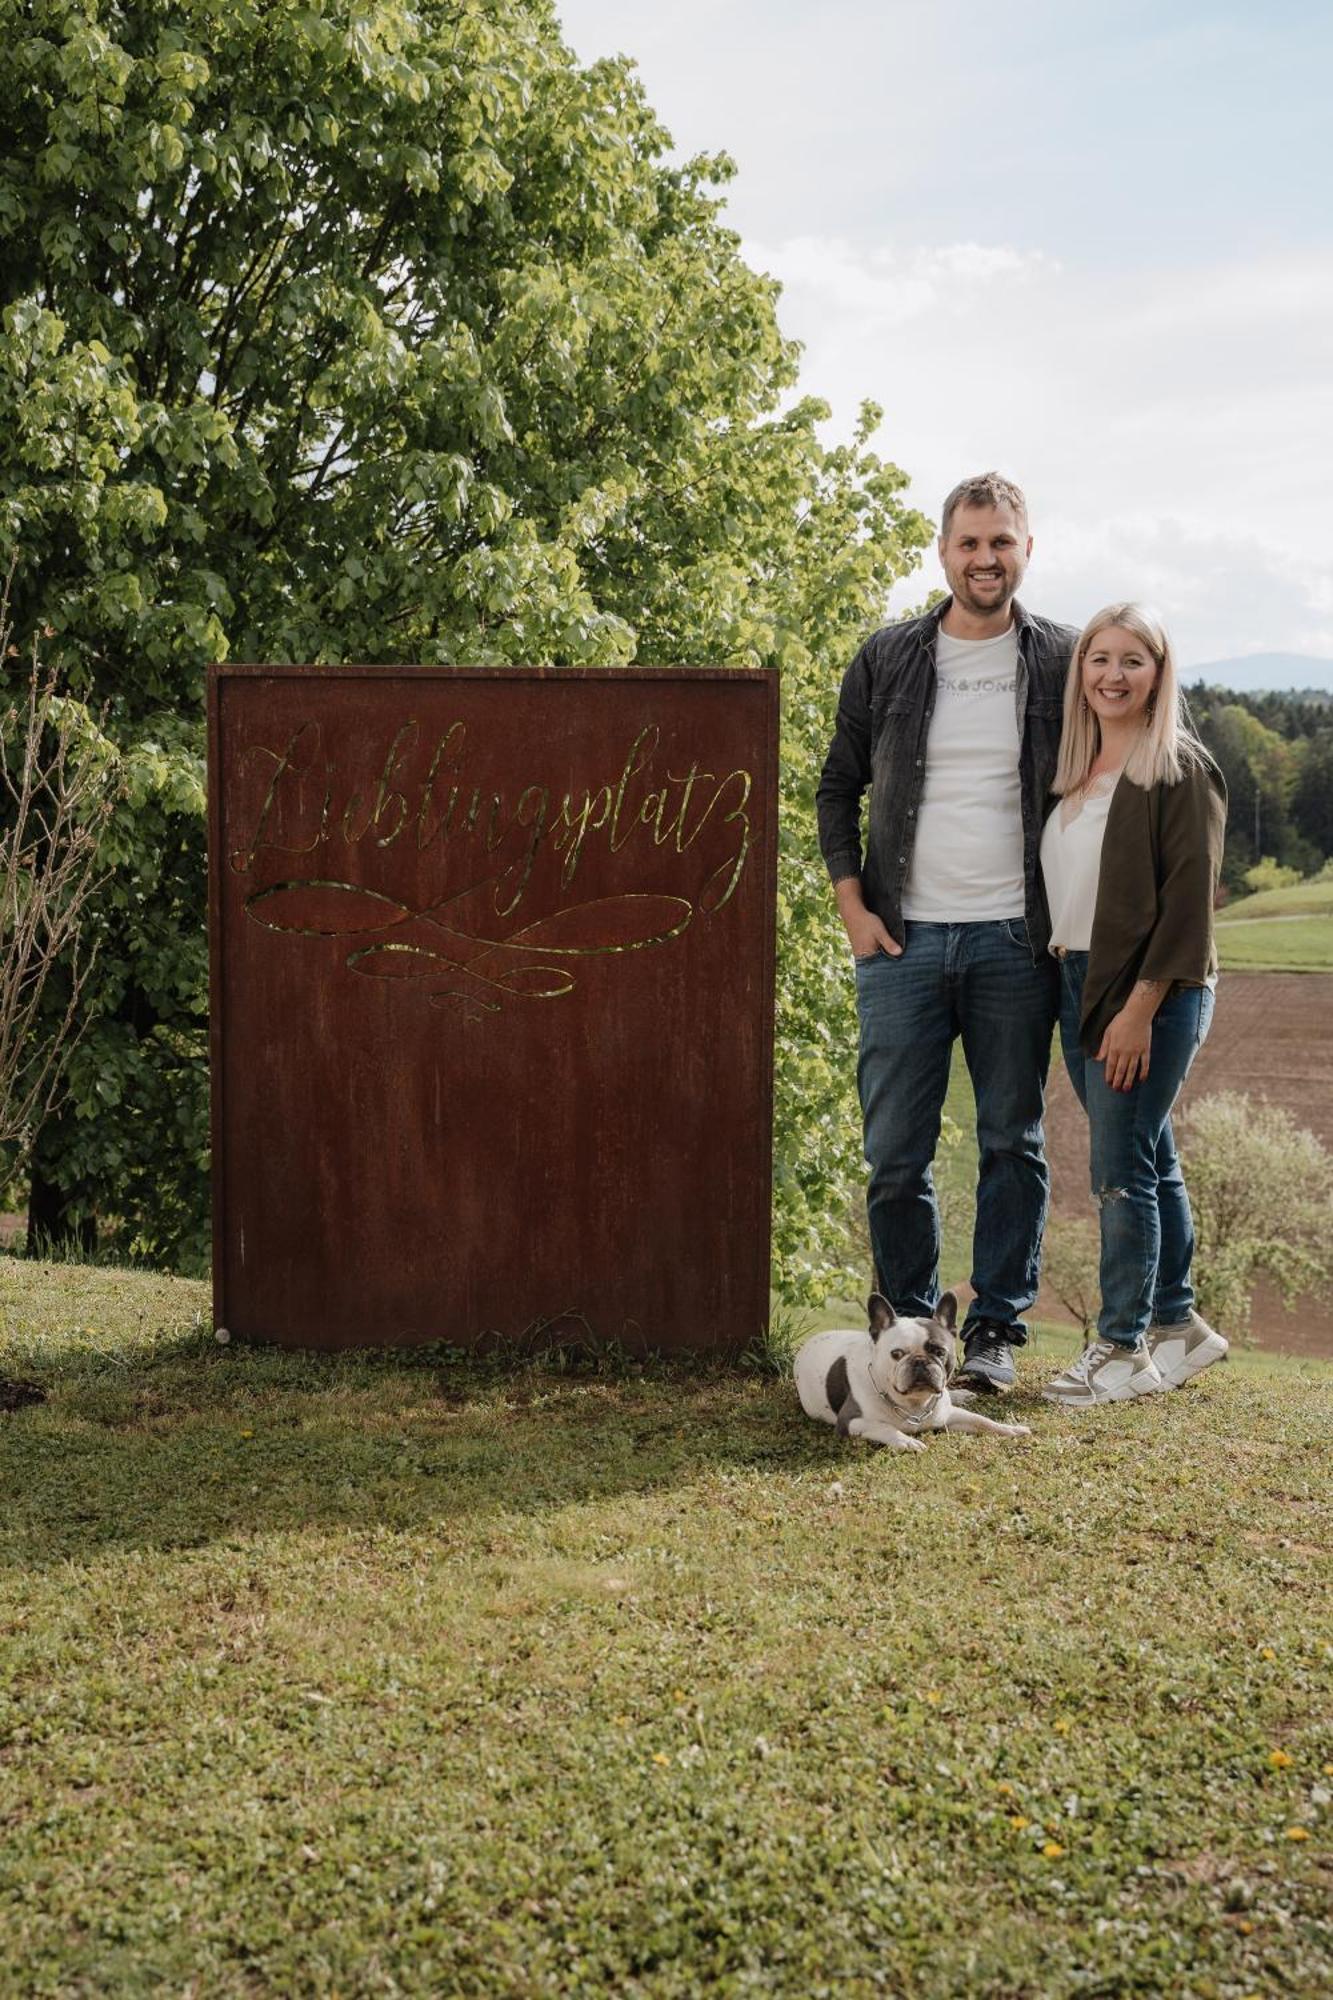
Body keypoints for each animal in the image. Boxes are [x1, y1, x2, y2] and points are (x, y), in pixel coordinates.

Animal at [788, 1296, 1024, 1456]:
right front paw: (906, 1441)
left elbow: (982, 1421)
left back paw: (961, 1394)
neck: (913, 1405)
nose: (919, 1361)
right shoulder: (850, 1421)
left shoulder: (948, 1415)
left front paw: (1010, 1428)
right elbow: (884, 1427)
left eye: (940, 1352)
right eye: (896, 1354)